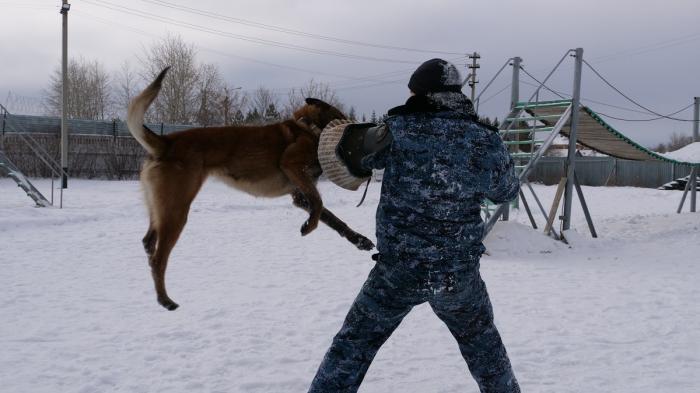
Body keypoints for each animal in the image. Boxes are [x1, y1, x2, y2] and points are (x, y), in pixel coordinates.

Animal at [128, 68, 374, 312]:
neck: (308, 127)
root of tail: (165, 143)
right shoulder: (293, 166)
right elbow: (319, 203)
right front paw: (308, 227)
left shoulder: (299, 195)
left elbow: (332, 218)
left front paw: (359, 240)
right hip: (176, 210)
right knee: (159, 258)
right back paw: (165, 299)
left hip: (162, 208)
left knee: (148, 242)